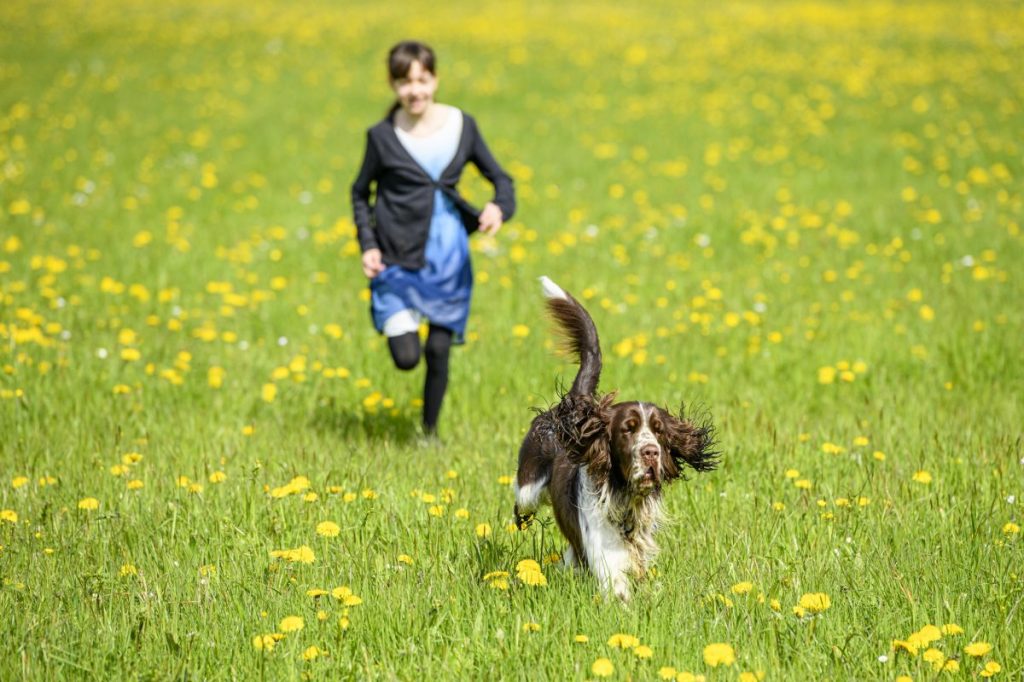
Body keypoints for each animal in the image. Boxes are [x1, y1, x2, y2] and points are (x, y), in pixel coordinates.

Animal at [512, 274, 720, 598]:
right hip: (527, 490)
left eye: (659, 431)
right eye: (627, 429)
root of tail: (574, 405)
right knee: (522, 502)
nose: (650, 452)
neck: (623, 496)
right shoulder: (606, 555)